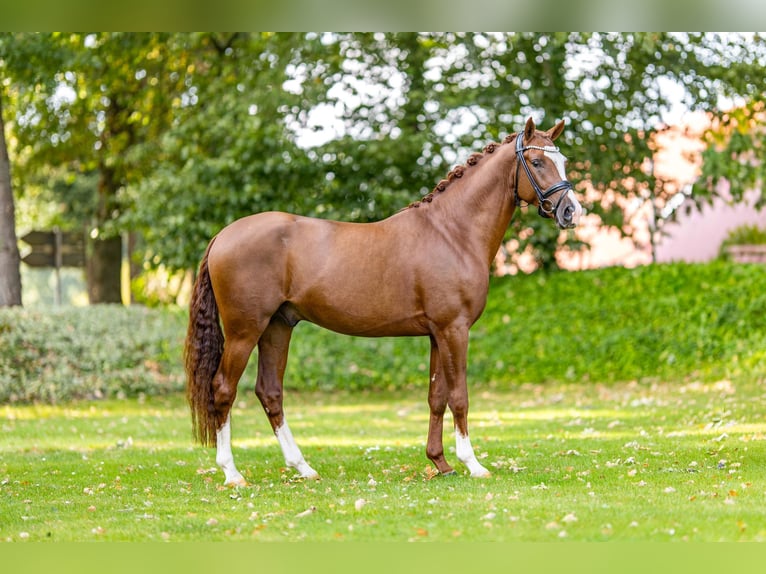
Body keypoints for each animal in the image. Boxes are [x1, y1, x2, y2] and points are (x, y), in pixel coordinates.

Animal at [184, 117, 583, 486]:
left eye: (562, 160)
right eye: (537, 161)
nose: (571, 211)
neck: (452, 232)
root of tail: (223, 234)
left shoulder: (437, 334)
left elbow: (436, 396)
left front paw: (440, 463)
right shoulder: (454, 330)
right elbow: (459, 396)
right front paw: (473, 464)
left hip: (277, 327)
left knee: (270, 393)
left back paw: (303, 467)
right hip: (244, 331)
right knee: (223, 389)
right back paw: (232, 473)